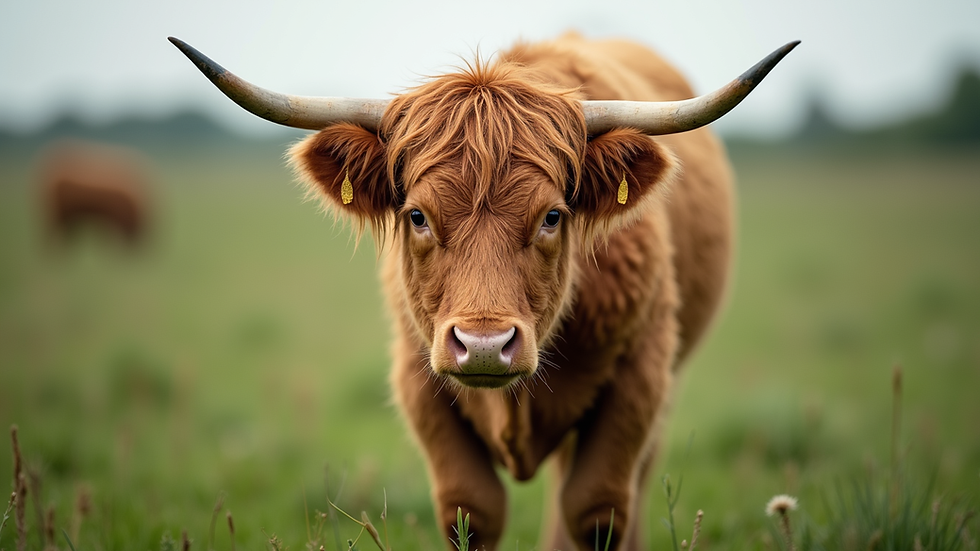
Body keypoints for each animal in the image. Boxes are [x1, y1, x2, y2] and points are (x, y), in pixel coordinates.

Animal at [171, 33, 798, 551]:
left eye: (552, 216)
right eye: (417, 216)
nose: (483, 345)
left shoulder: (641, 372)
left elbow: (597, 511)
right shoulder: (418, 377)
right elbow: (471, 512)